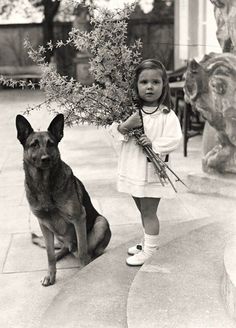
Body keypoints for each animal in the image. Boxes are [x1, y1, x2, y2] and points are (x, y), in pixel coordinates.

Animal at [15, 114, 111, 286]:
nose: (45, 159)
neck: (45, 185)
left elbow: (83, 252)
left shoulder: (79, 218)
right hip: (57, 233)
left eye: (51, 144)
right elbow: (49, 255)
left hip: (101, 222)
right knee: (61, 249)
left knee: (89, 252)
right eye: (34, 144)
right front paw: (50, 275)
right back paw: (60, 253)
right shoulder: (44, 224)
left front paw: (84, 274)